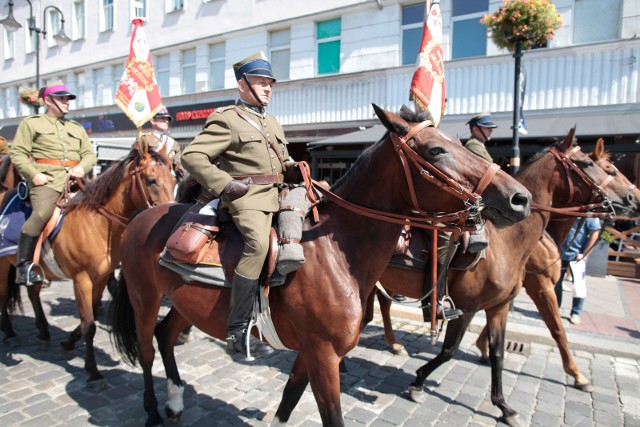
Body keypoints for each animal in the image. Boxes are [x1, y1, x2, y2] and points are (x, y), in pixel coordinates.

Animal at [0, 137, 175, 388]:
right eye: (151, 180)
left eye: (174, 179)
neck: (96, 222)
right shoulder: (81, 279)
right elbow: (89, 324)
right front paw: (92, 370)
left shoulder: (100, 277)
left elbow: (88, 316)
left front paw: (68, 344)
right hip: (4, 264)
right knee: (4, 295)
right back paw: (9, 333)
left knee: (32, 294)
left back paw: (43, 333)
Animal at [109, 104, 528, 427]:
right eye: (437, 150)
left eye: (459, 142)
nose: (519, 197)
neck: (336, 251)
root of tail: (141, 218)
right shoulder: (324, 357)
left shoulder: (310, 355)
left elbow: (287, 404)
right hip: (144, 299)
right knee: (146, 350)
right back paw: (152, 411)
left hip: (183, 304)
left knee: (165, 336)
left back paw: (176, 400)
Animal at [364, 132, 636, 426]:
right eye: (589, 164)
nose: (632, 198)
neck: (506, 242)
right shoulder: (473, 306)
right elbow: (450, 350)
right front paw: (418, 382)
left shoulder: (500, 306)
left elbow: (499, 353)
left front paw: (504, 405)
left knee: (379, 307)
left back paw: (392, 345)